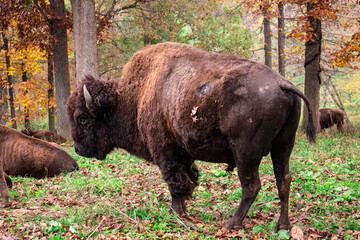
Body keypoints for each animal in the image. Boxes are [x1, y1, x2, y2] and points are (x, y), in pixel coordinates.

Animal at [67, 41, 316, 231]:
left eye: (82, 118)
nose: (78, 149)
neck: (133, 97)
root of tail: (282, 83)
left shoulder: (165, 151)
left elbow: (176, 182)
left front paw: (177, 214)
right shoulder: (184, 153)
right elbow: (189, 179)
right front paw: (182, 211)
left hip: (246, 152)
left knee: (251, 186)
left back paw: (231, 224)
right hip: (283, 146)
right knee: (283, 180)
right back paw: (282, 226)